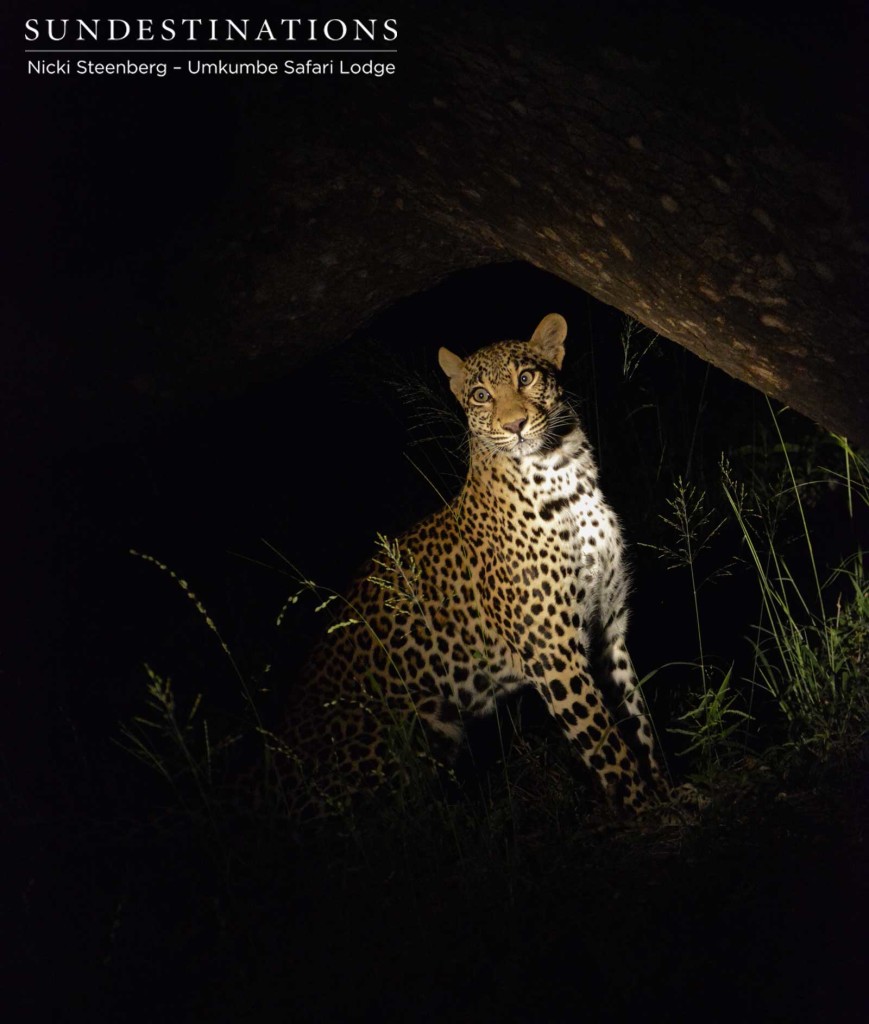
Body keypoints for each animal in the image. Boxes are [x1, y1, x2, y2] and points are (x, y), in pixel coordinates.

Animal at [270, 311, 663, 815]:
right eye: (481, 395)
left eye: (526, 377)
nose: (516, 424)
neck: (567, 478)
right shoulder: (554, 654)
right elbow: (608, 746)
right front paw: (643, 809)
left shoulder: (609, 630)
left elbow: (639, 723)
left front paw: (668, 794)